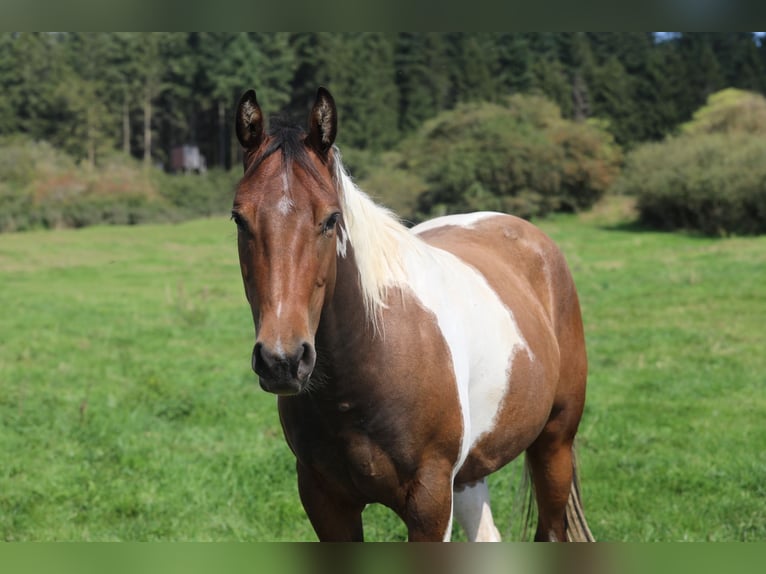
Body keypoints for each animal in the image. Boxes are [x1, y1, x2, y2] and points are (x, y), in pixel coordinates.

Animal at [231, 88, 596, 544]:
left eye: (331, 219)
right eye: (239, 218)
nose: (282, 360)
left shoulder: (429, 502)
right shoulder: (325, 502)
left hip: (554, 444)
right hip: (471, 473)